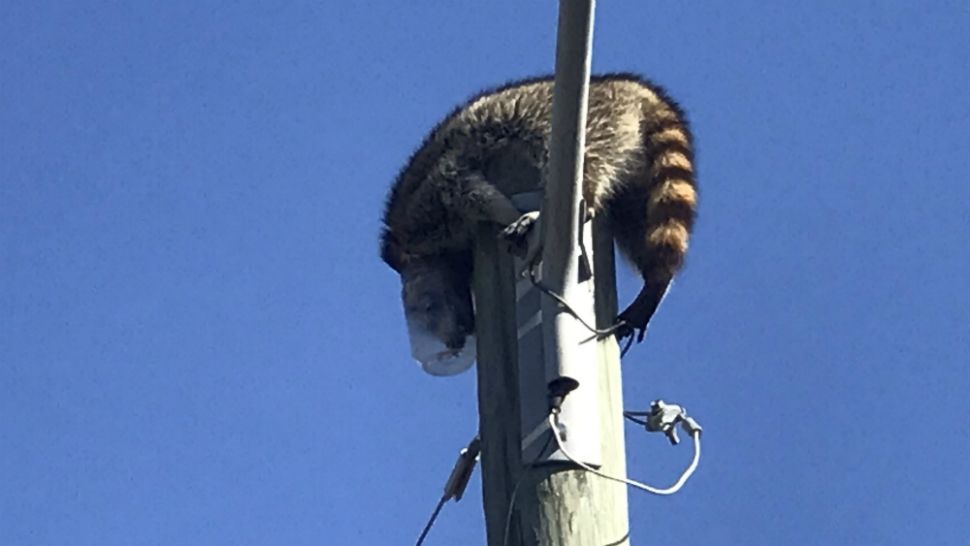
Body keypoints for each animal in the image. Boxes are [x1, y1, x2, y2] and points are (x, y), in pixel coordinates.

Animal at [378, 73, 696, 348]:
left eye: (428, 307)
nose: (456, 340)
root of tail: (633, 89)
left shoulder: (434, 196)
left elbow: (472, 192)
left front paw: (504, 212)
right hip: (637, 172)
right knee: (640, 225)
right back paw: (657, 280)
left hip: (589, 125)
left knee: (584, 166)